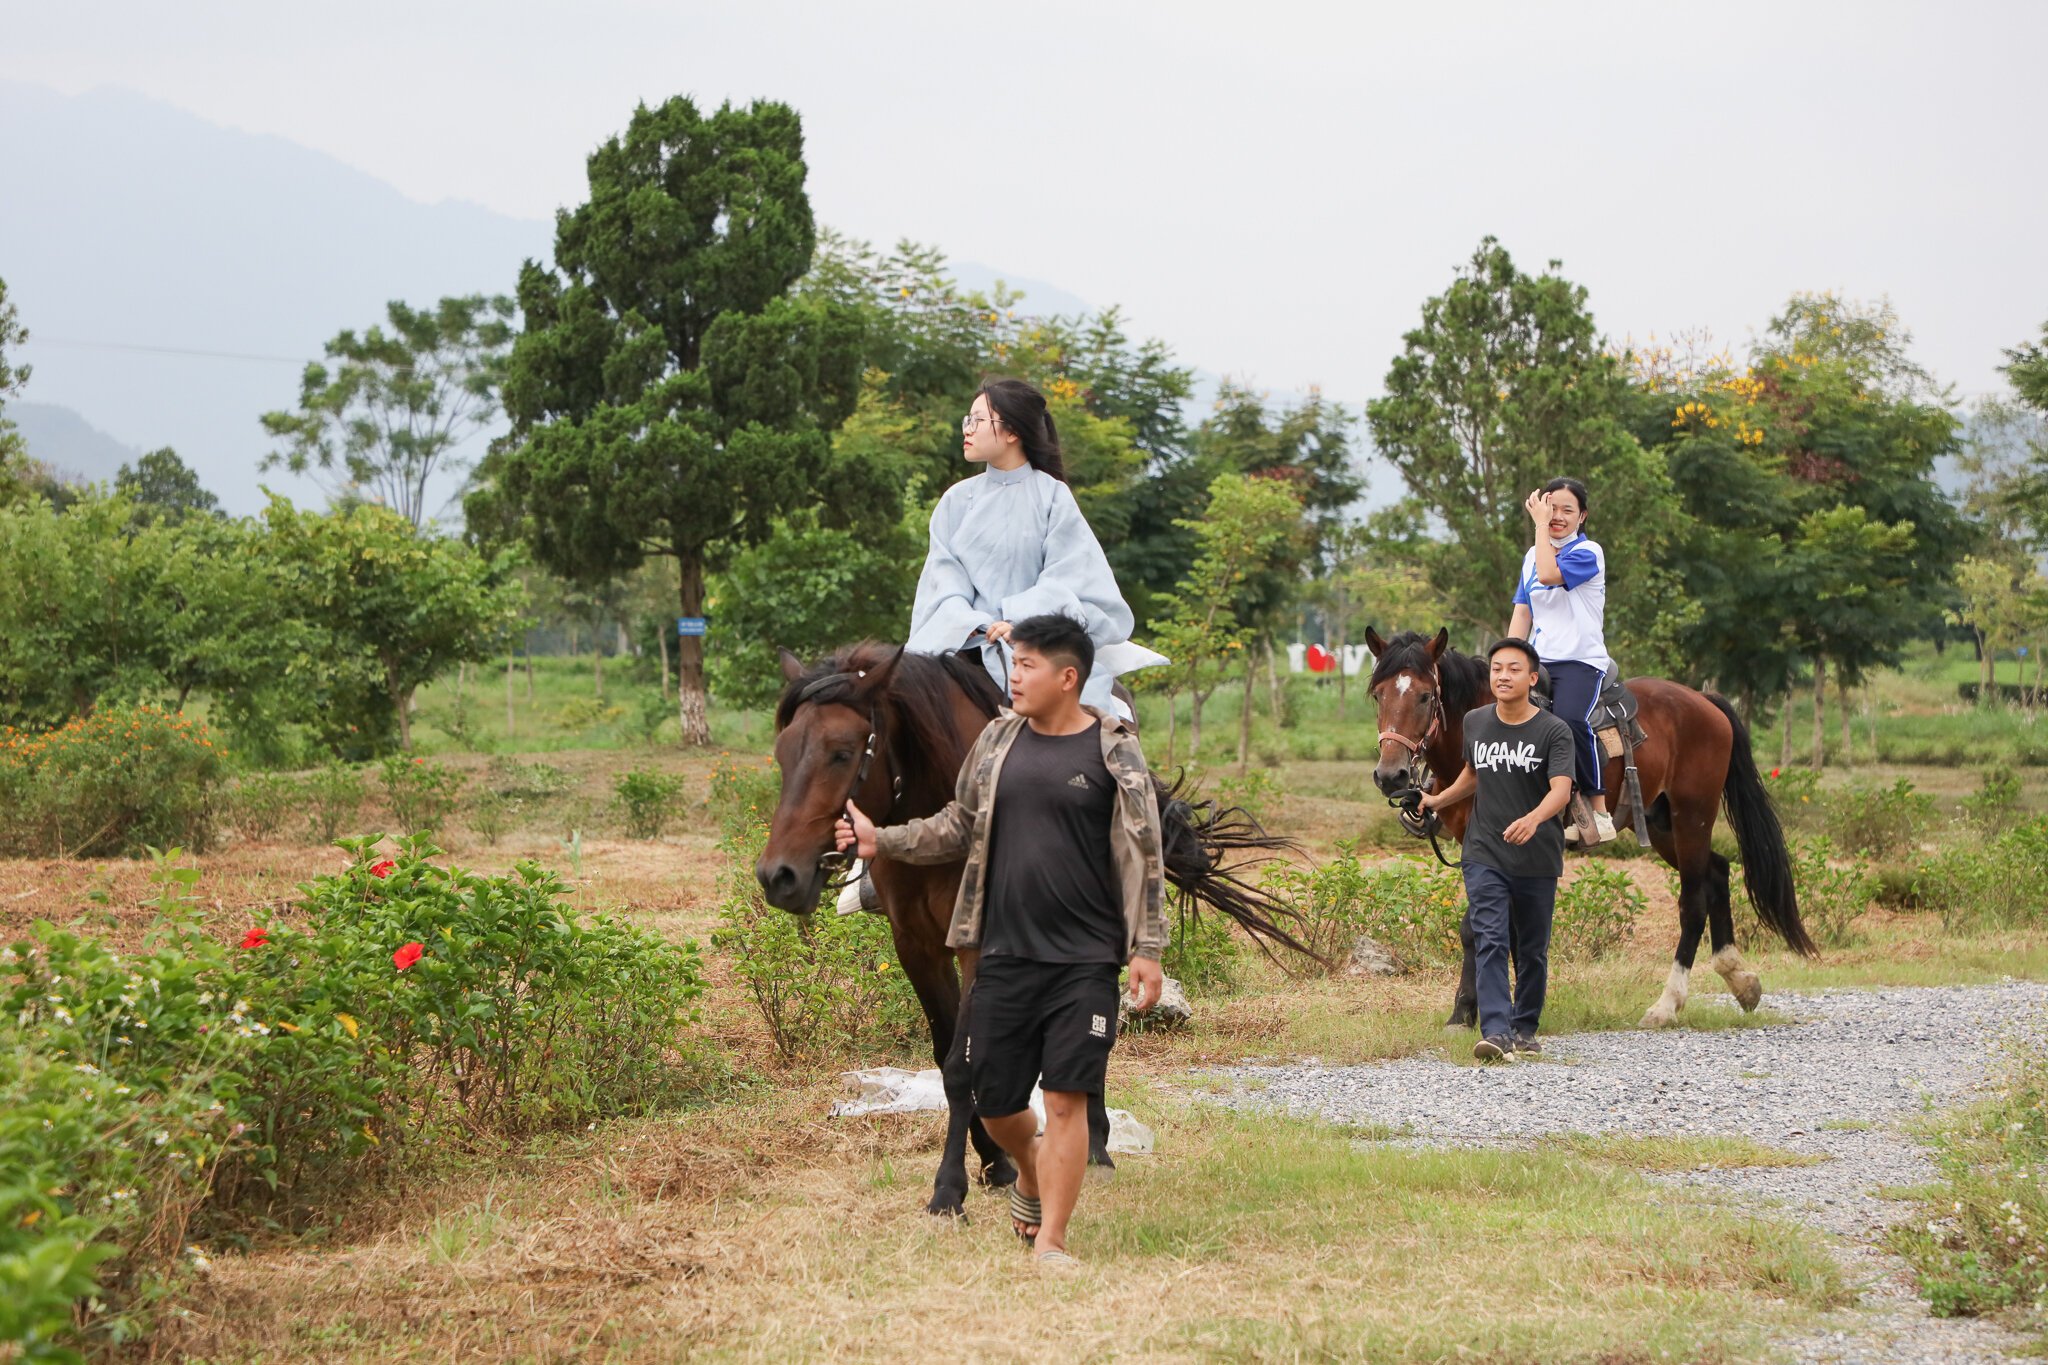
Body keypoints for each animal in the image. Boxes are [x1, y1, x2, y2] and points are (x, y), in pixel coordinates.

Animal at [757, 646, 1310, 1219]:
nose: (779, 876)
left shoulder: (977, 942)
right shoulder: (915, 944)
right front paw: (994, 1160)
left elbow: (963, 1063)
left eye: (842, 753)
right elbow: (948, 1050)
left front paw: (950, 1185)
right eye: (782, 753)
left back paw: (1095, 1143)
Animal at [1359, 630, 1810, 1023]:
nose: (1391, 775)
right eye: (1378, 695)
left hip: (1692, 816)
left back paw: (1666, 1005)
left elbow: (1480, 927)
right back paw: (1741, 980)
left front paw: (1469, 1010)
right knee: (1717, 872)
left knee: (1693, 901)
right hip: (1662, 824)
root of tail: (1704, 700)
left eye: (1425, 695)